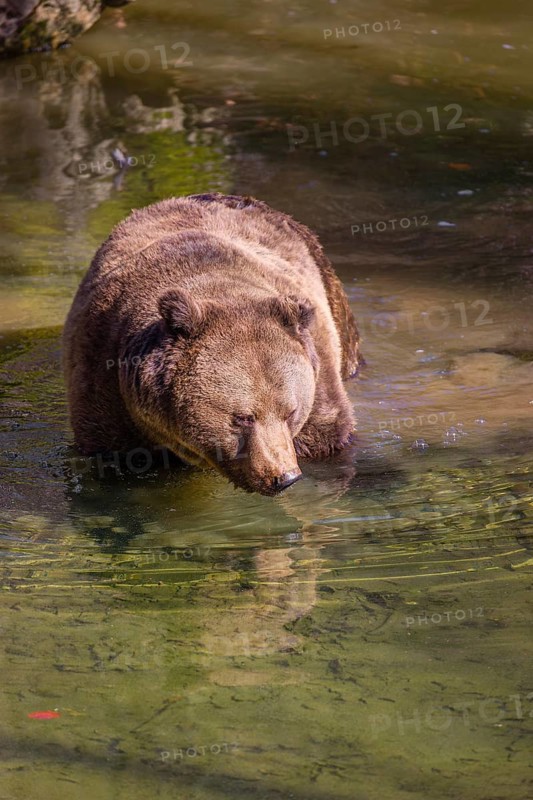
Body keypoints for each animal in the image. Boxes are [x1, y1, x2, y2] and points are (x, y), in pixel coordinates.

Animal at [62, 193, 361, 495]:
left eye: (291, 412)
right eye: (243, 417)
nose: (284, 476)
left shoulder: (319, 366)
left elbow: (325, 434)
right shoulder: (105, 376)